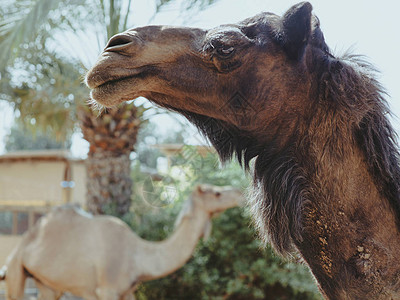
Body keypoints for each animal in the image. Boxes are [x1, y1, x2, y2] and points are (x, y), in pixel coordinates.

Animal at [0, 184, 242, 298]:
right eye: (217, 193)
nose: (239, 192)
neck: (138, 254)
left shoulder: (128, 291)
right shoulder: (108, 290)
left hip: (47, 285)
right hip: (15, 271)